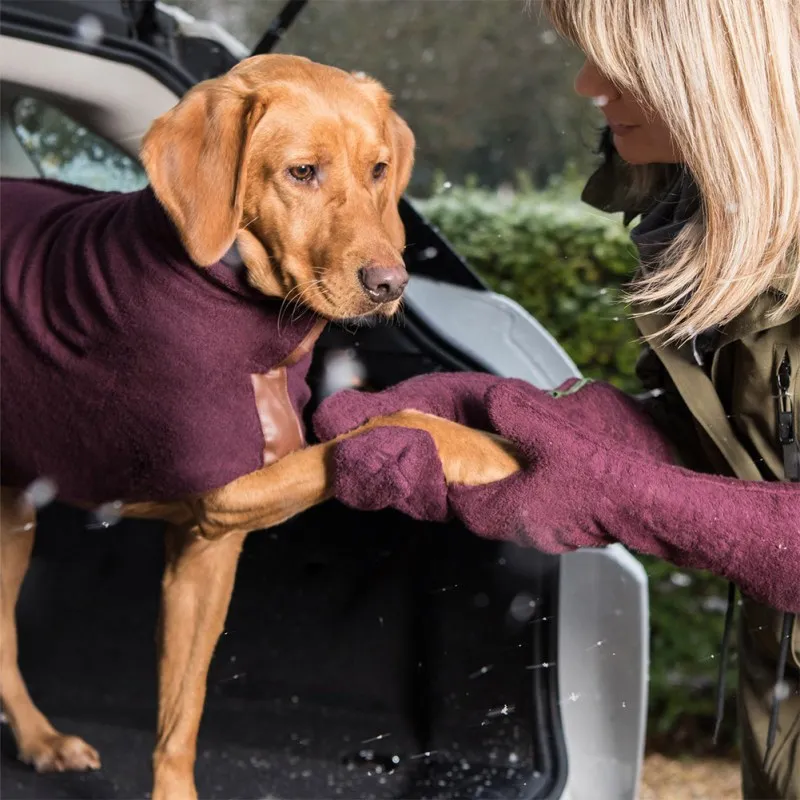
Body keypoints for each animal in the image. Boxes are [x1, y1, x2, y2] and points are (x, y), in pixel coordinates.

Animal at [0, 53, 520, 796]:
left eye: (379, 170)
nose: (392, 285)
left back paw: (40, 738)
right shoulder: (225, 489)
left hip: (14, 514)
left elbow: (181, 712)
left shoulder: (210, 548)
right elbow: (388, 419)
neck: (247, 313)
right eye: (302, 172)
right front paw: (488, 446)